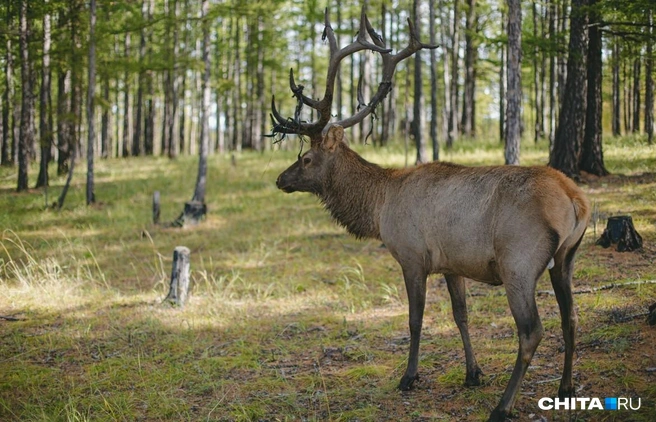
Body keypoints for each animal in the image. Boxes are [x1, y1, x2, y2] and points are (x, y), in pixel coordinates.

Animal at [272, 7, 588, 422]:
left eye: (306, 158)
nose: (280, 179)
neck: (378, 206)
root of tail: (575, 198)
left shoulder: (411, 256)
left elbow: (415, 319)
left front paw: (409, 377)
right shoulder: (454, 263)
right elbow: (461, 314)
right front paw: (473, 373)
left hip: (518, 261)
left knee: (532, 330)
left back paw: (503, 406)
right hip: (565, 259)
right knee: (571, 317)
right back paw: (566, 387)